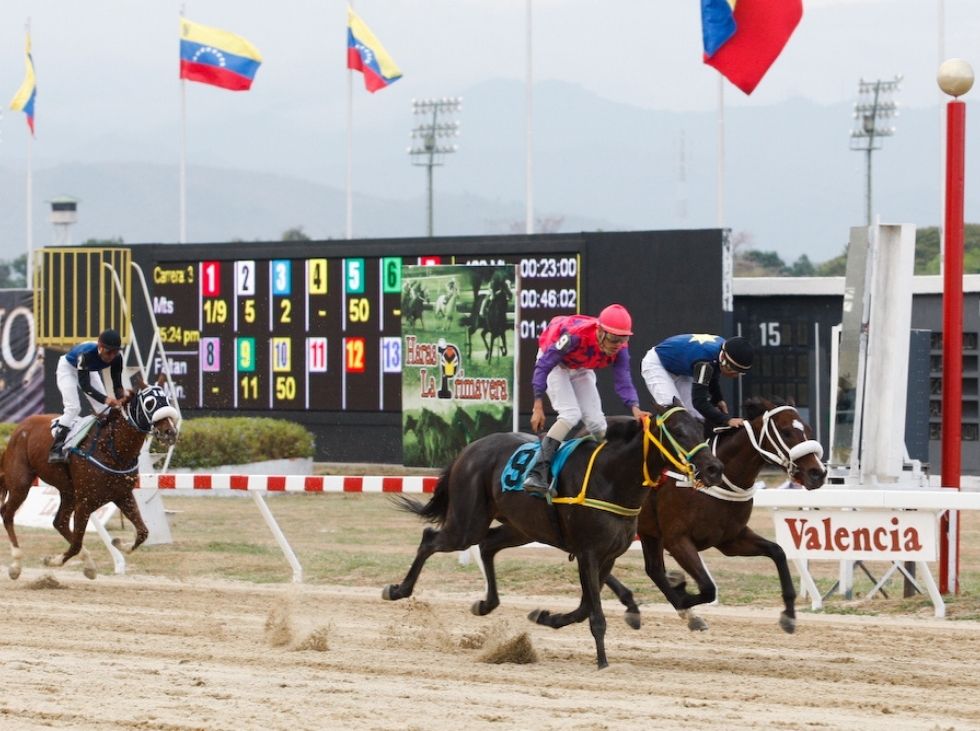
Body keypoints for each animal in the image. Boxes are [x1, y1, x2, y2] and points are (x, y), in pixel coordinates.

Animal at [0, 374, 179, 580]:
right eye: (150, 403)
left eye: (168, 399)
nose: (170, 432)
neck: (112, 449)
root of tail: (20, 426)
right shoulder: (85, 502)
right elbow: (76, 543)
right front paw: (53, 560)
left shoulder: (122, 495)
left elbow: (143, 532)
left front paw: (119, 543)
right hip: (20, 483)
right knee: (7, 513)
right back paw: (16, 564)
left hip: (68, 491)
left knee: (59, 522)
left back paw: (89, 564)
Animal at [382, 404, 728, 672]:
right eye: (679, 432)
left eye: (701, 427)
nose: (714, 468)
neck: (612, 477)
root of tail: (468, 449)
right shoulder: (588, 552)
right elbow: (594, 613)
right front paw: (603, 663)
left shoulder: (607, 555)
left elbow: (585, 608)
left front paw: (546, 616)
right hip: (468, 522)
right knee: (431, 539)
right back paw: (398, 589)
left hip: (520, 527)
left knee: (487, 545)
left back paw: (485, 603)